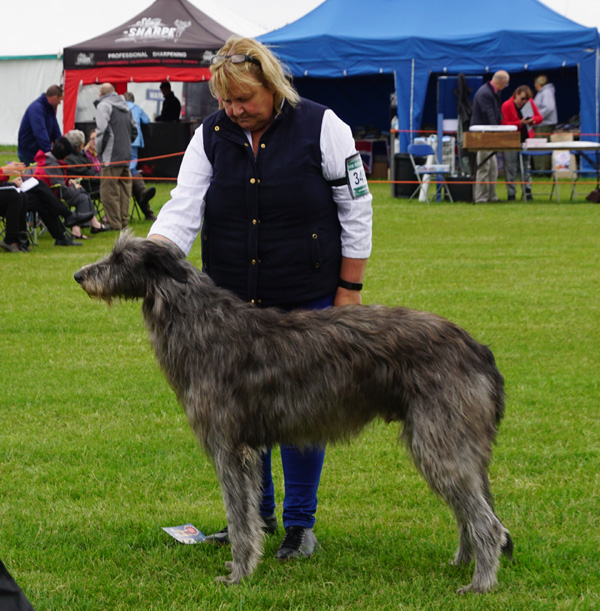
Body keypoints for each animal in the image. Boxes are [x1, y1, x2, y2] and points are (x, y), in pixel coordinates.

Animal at [72, 233, 512, 592]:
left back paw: (480, 582)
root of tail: (477, 348)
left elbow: (239, 517)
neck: (201, 324)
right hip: (451, 444)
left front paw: (238, 574)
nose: (79, 275)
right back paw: (462, 562)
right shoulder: (249, 450)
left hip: (439, 442)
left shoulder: (228, 447)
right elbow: (249, 513)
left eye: (119, 257)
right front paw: (243, 564)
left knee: (488, 522)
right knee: (470, 512)